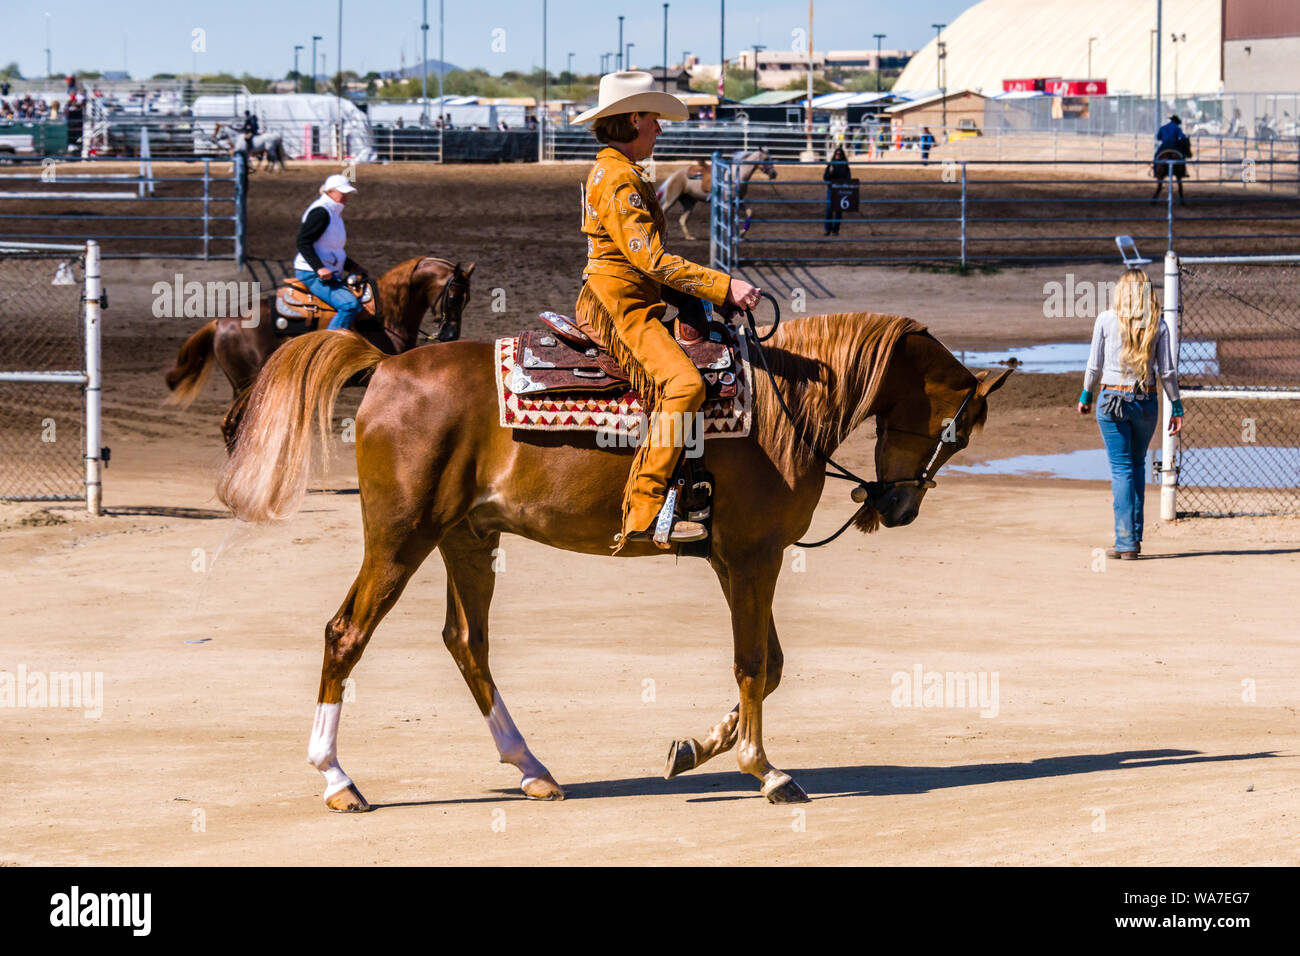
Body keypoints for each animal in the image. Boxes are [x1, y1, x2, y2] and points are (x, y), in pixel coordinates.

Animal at [159, 256, 470, 447]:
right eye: (454, 295)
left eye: (467, 298)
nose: (450, 335)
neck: (384, 316)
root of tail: (221, 321)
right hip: (246, 385)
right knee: (231, 425)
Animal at [215, 312, 1013, 806]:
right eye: (962, 431)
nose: (900, 508)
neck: (784, 405)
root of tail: (385, 368)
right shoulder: (755, 557)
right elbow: (755, 664)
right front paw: (764, 769)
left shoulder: (730, 561)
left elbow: (771, 667)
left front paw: (695, 747)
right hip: (401, 536)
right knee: (346, 634)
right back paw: (337, 780)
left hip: (467, 538)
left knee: (467, 642)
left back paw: (533, 770)